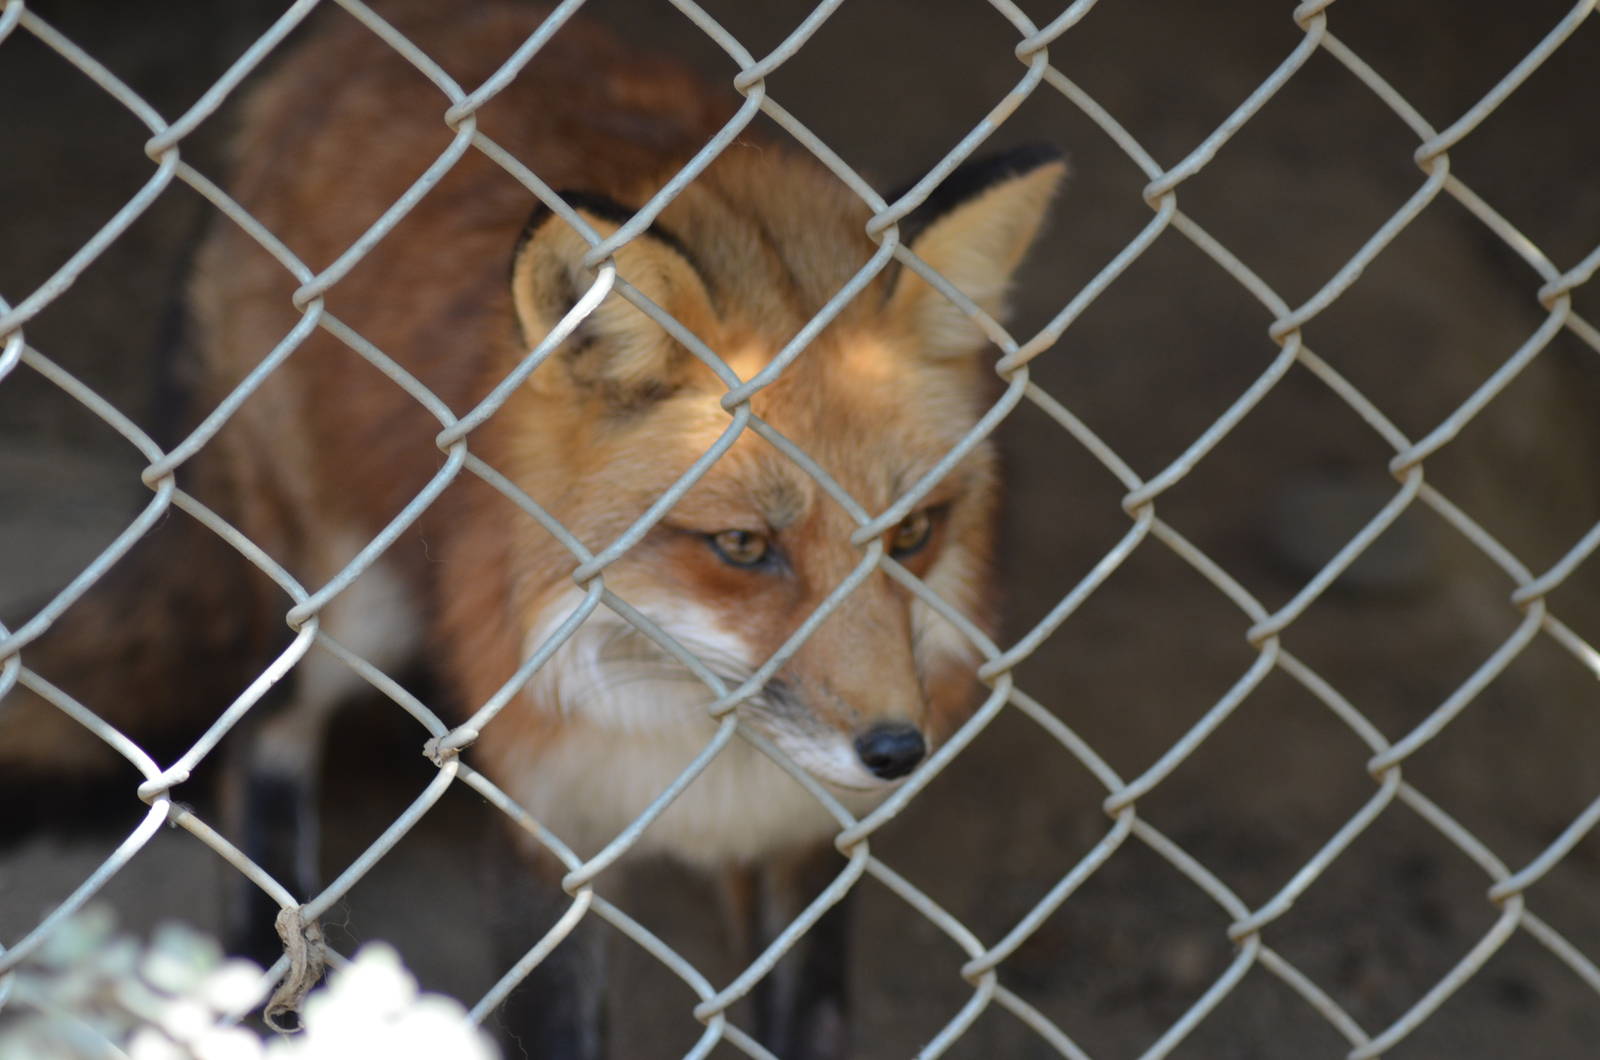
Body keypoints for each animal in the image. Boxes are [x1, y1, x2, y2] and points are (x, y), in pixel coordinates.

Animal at [1, 3, 1063, 1057]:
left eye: (913, 534)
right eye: (744, 547)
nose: (898, 752)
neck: (687, 734)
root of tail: (336, 50)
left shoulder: (806, 847)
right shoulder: (546, 837)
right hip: (339, 607)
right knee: (255, 748)